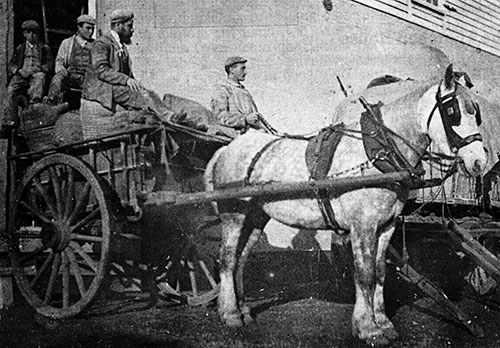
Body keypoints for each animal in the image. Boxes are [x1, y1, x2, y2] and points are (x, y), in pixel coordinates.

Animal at [202, 64, 484, 346]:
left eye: (477, 113)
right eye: (453, 111)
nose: (479, 162)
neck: (378, 153)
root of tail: (227, 149)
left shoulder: (387, 226)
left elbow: (380, 272)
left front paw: (384, 323)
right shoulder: (363, 226)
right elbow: (365, 274)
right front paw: (367, 328)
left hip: (256, 216)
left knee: (241, 259)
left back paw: (243, 310)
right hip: (234, 214)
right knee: (227, 259)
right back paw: (230, 314)